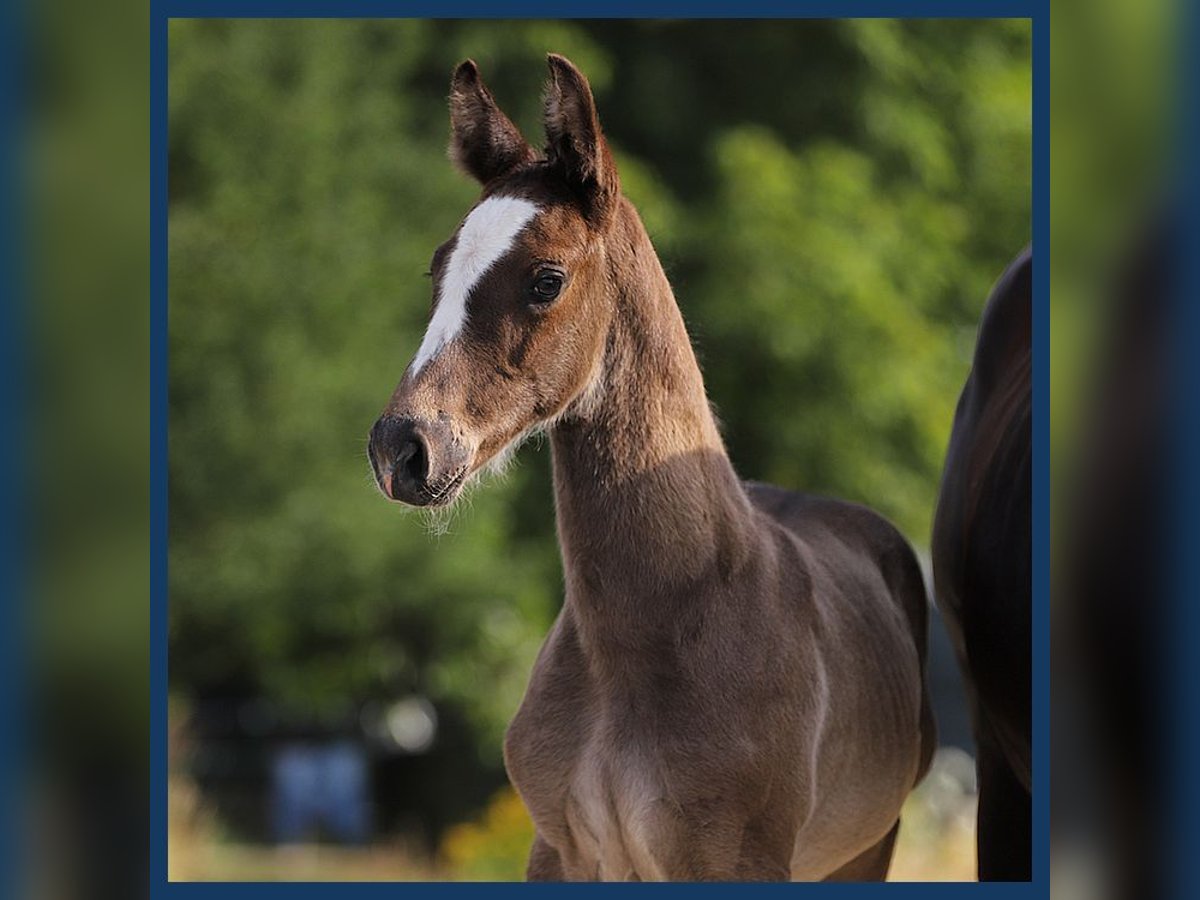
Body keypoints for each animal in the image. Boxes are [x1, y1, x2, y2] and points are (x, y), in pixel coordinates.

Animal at [364, 54, 936, 883]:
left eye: (545, 279)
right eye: (439, 269)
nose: (401, 448)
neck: (640, 640)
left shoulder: (739, 861)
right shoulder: (560, 851)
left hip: (864, 850)